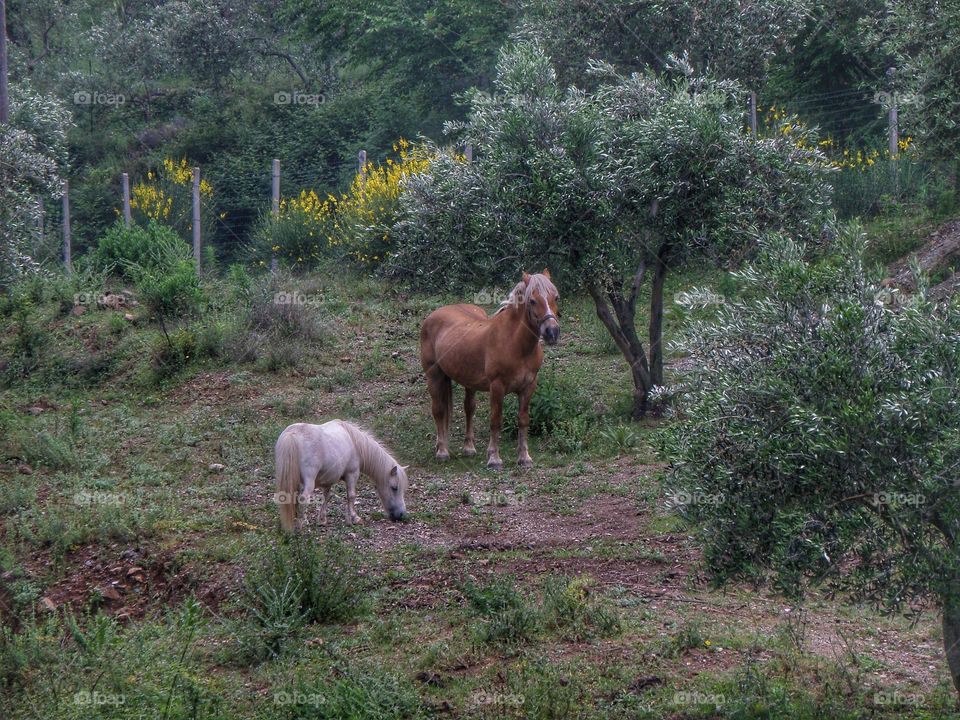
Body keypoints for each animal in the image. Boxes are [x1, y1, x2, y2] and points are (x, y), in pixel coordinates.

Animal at [274, 420, 408, 532]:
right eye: (394, 488)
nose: (401, 514)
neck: (354, 442)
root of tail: (292, 434)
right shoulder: (352, 474)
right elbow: (351, 496)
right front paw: (354, 518)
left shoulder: (327, 480)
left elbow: (326, 497)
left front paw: (322, 519)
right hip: (309, 482)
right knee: (303, 499)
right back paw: (301, 528)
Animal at [416, 268, 560, 466]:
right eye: (532, 300)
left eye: (556, 297)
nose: (552, 332)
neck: (515, 344)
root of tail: (434, 315)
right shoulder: (497, 387)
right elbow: (495, 420)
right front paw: (494, 458)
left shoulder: (528, 386)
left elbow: (523, 420)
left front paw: (524, 458)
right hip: (434, 375)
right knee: (438, 410)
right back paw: (442, 451)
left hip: (468, 381)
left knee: (469, 408)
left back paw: (469, 448)